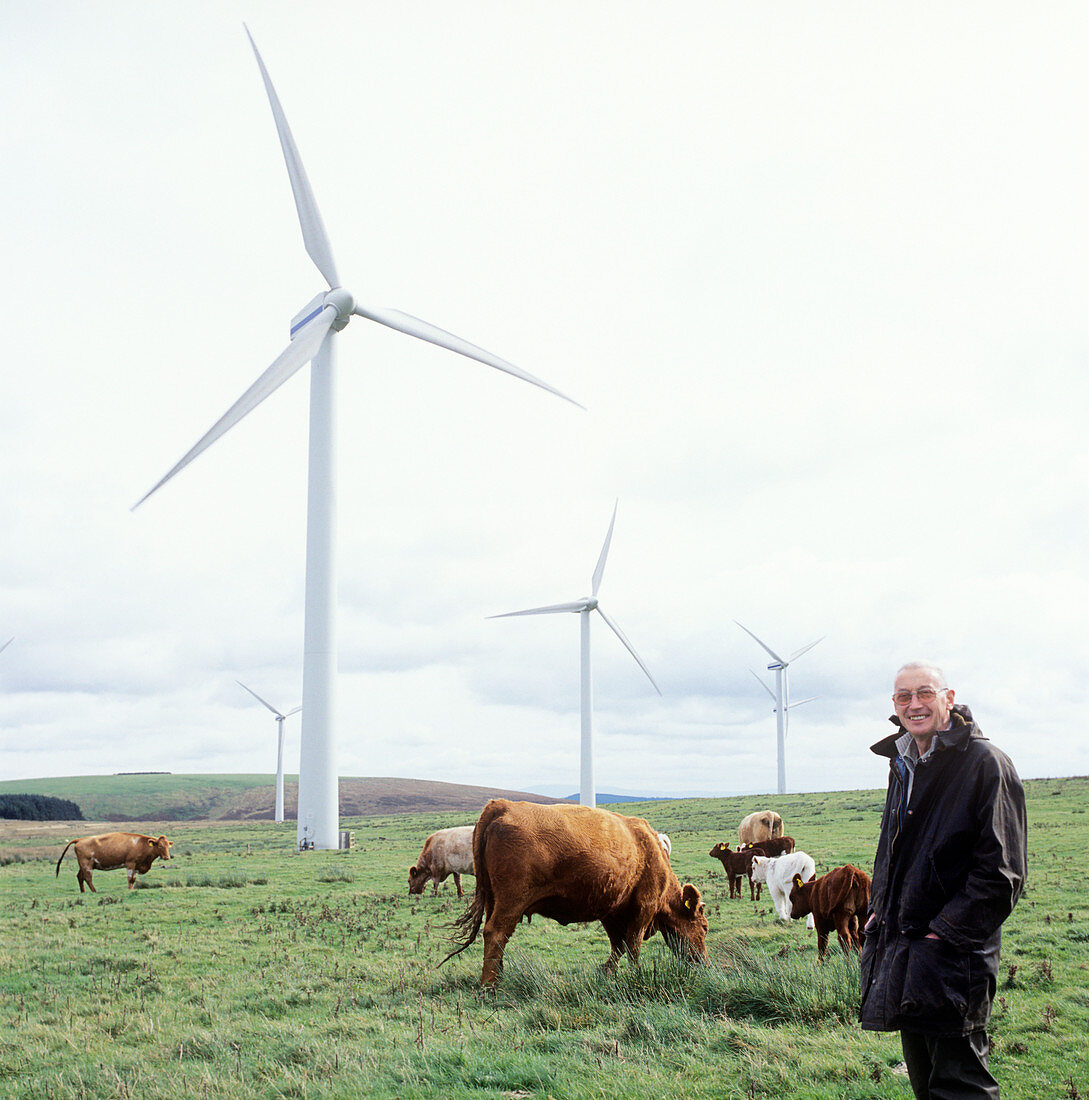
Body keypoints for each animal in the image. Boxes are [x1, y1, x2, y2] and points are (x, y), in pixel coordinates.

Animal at [444, 796, 712, 985]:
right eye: (704, 927)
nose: (706, 965)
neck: (650, 851)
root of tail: (502, 805)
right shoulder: (643, 908)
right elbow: (632, 946)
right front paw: (636, 974)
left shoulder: (612, 911)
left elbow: (618, 945)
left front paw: (607, 972)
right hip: (511, 902)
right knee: (496, 933)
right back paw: (489, 986)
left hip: (492, 899)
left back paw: (499, 975)